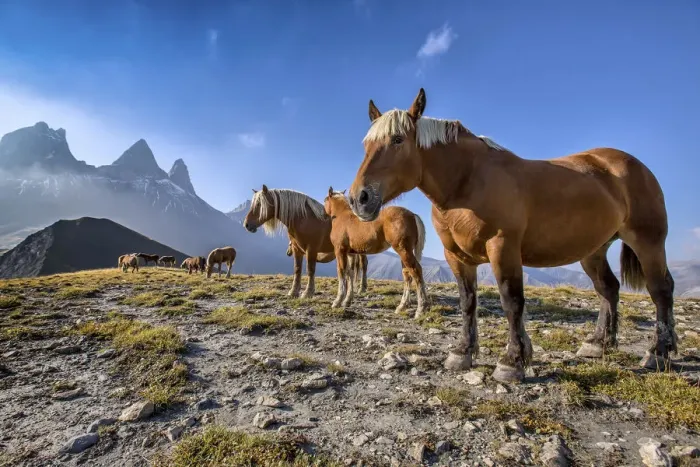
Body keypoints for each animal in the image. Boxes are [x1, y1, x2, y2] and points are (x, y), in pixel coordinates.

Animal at [346, 87, 676, 383]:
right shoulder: (457, 256)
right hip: (593, 251)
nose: (359, 198)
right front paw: (462, 353)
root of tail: (632, 165)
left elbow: (511, 301)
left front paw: (513, 362)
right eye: (365, 145)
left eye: (398, 140)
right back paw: (599, 344)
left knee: (661, 290)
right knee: (609, 289)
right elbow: (468, 301)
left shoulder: (503, 249)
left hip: (648, 242)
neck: (468, 181)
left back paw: (658, 352)